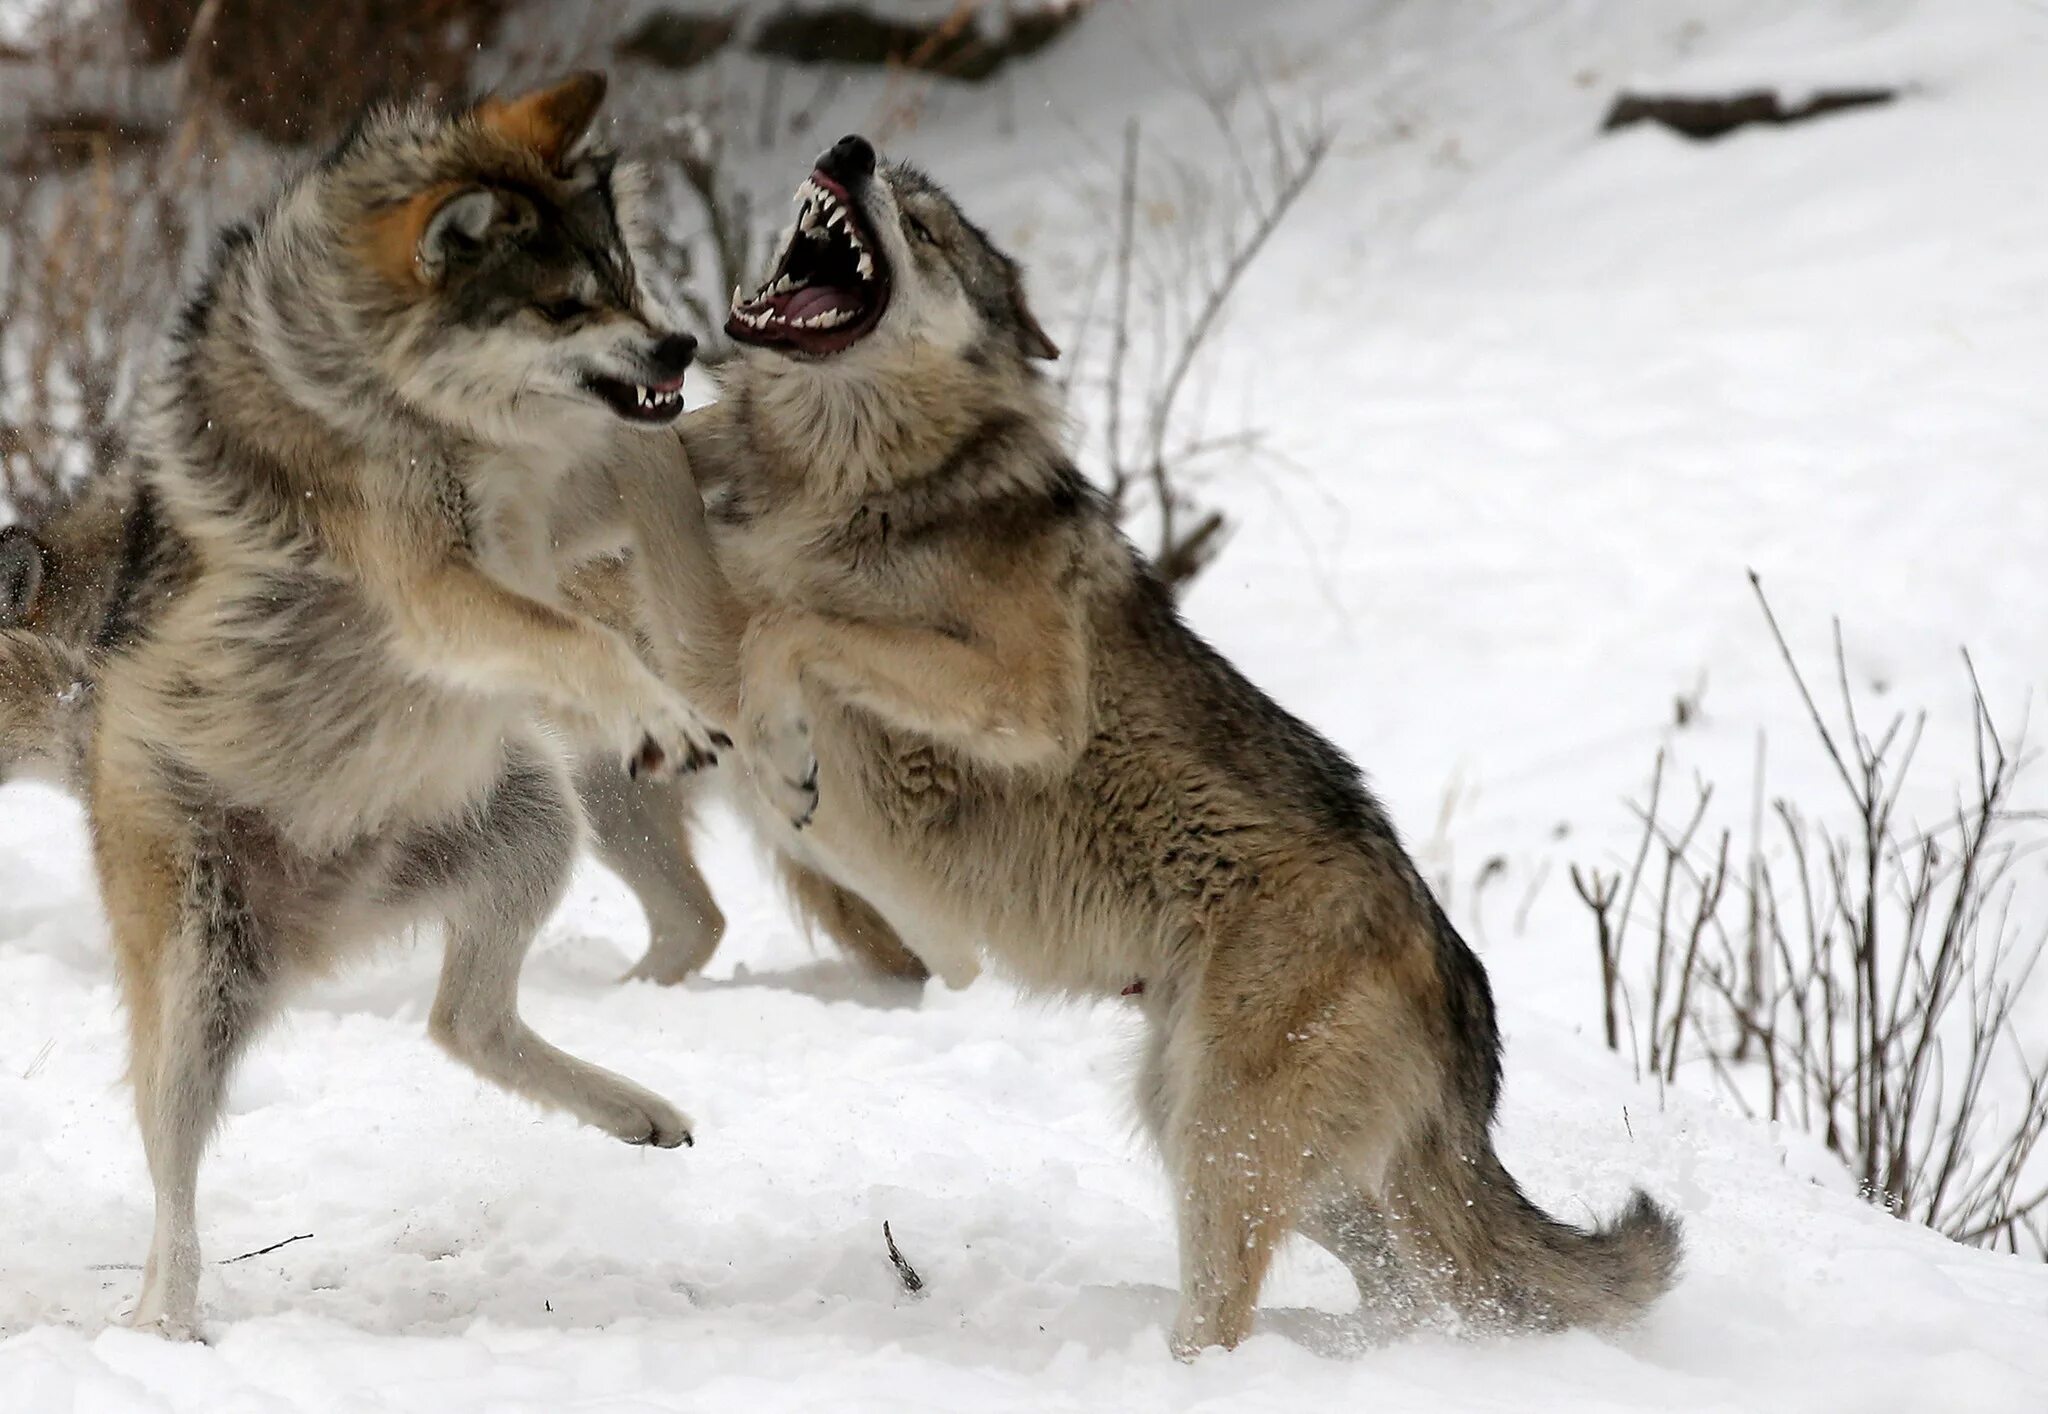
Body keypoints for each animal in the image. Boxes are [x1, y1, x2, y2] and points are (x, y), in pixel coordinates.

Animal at [49, 76, 720, 1336]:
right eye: (561, 304)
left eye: (625, 278)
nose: (681, 341)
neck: (399, 393)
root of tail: (324, 921)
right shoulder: (439, 589)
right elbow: (586, 636)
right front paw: (661, 711)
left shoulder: (558, 506)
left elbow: (659, 481)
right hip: (202, 974)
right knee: (172, 1190)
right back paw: (169, 1330)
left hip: (530, 820)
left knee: (462, 1025)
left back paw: (634, 1106)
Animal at [626, 135, 1679, 1352]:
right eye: (888, 180)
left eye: (923, 224)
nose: (851, 149)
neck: (837, 481)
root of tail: (1460, 979)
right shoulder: (702, 620)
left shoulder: (1024, 698)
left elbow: (797, 630)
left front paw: (789, 750)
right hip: (1248, 1150)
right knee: (1416, 1295)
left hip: (1220, 1140)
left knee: (1233, 1313)